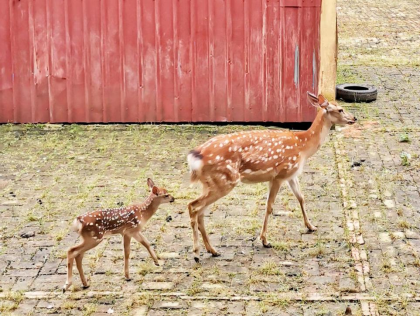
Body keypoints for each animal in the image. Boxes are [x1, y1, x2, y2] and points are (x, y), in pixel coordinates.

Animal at [189, 92, 356, 262]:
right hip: (224, 180)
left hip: (210, 183)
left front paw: (311, 226)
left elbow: (301, 198)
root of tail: (196, 156)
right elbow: (269, 207)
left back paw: (212, 250)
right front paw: (264, 240)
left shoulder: (291, 174)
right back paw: (196, 253)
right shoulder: (279, 175)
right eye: (340, 109)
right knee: (193, 206)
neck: (303, 146)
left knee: (199, 210)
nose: (354, 118)